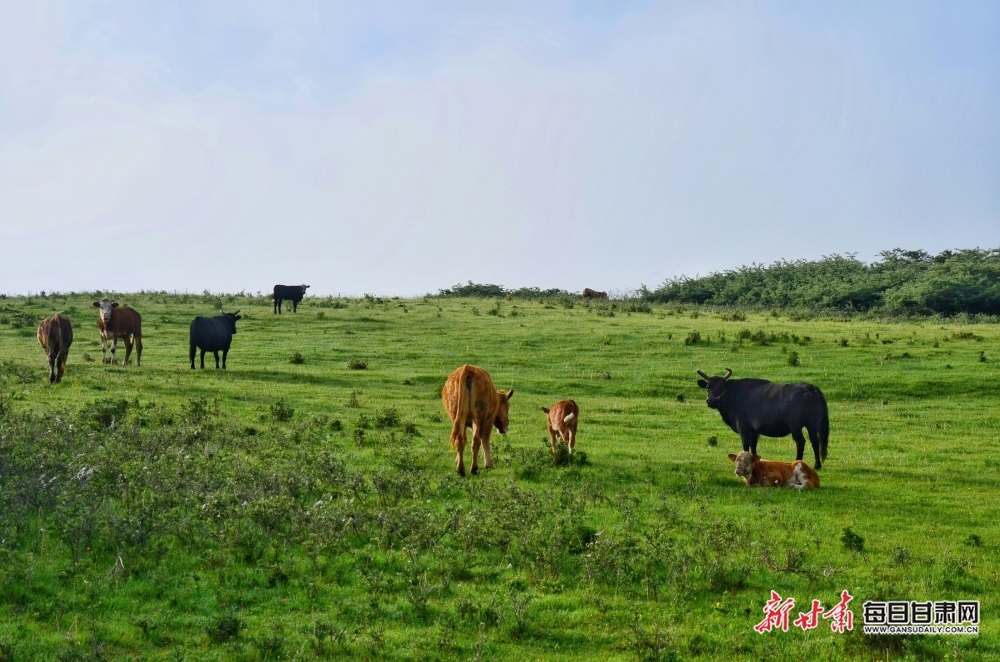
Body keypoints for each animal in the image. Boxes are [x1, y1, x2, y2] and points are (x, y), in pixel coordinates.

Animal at [696, 368, 828, 472]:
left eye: (722, 387)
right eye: (707, 388)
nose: (711, 401)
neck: (734, 394)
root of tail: (810, 387)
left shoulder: (743, 427)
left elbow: (746, 445)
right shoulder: (754, 431)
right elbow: (753, 446)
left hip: (796, 426)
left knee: (801, 441)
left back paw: (797, 461)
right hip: (812, 424)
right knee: (815, 441)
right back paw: (817, 465)